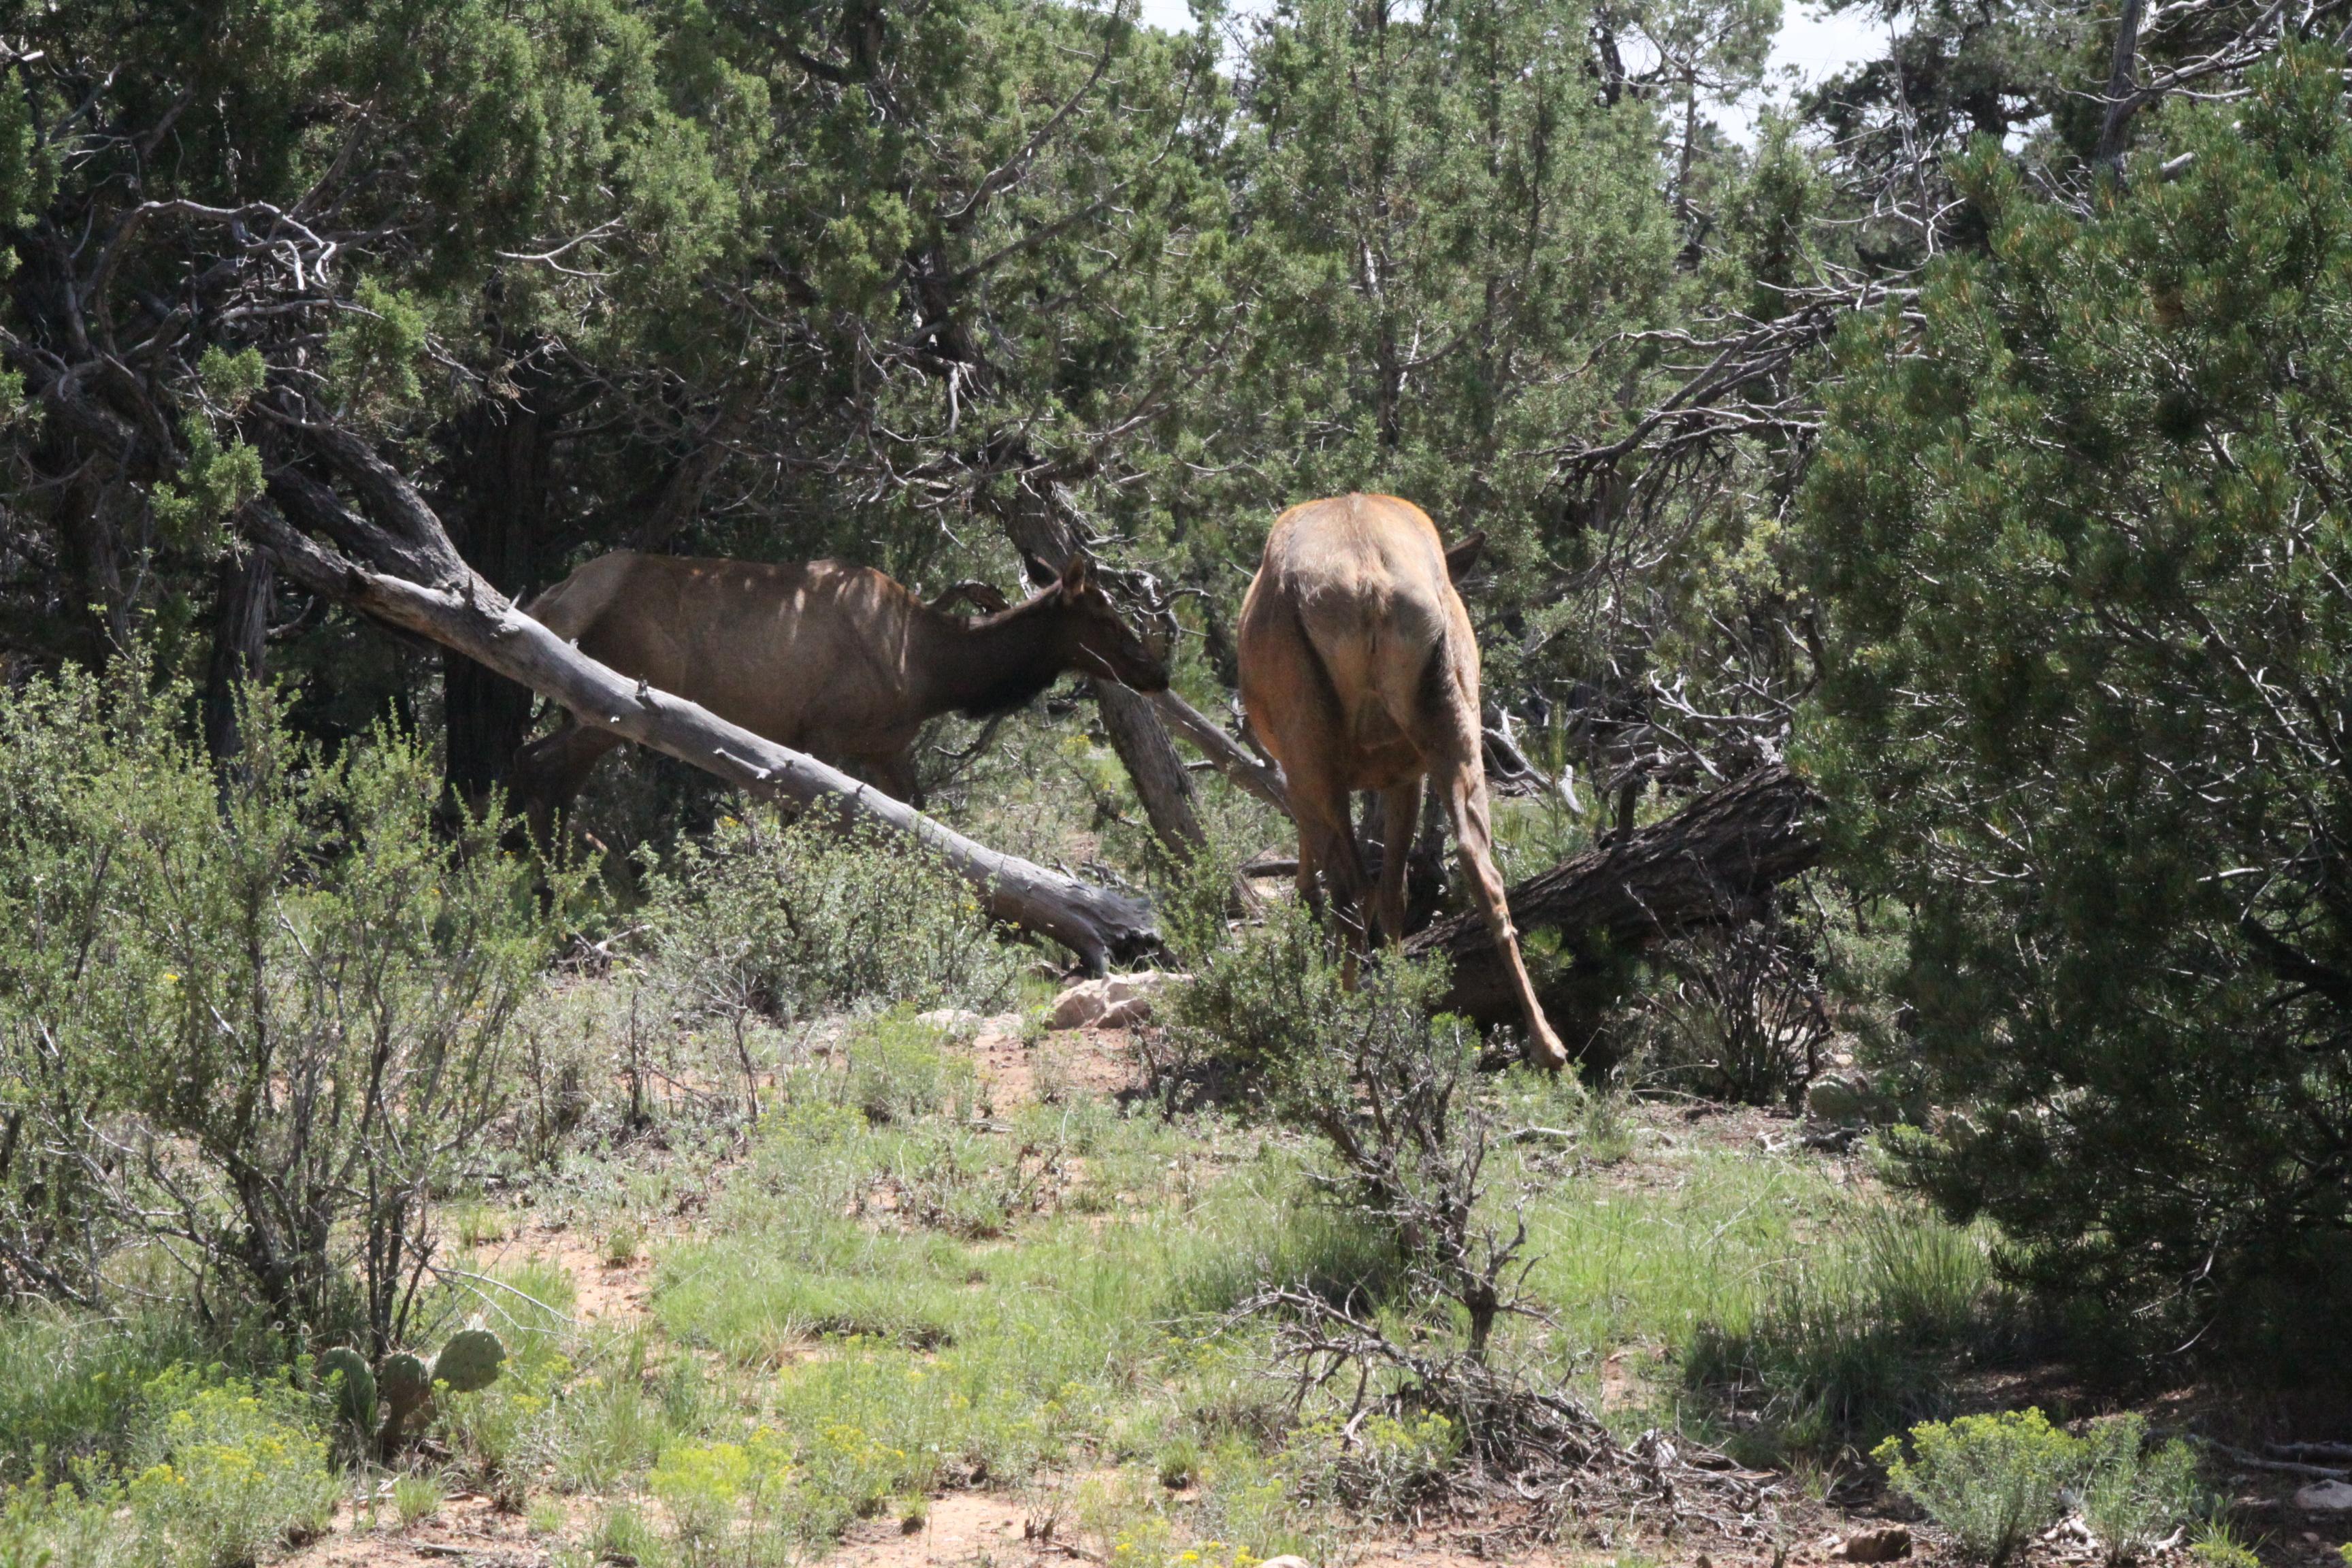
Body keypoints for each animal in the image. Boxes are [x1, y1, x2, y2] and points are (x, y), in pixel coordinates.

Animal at [519, 550, 1171, 808]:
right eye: (1105, 618)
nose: (1156, 671)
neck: (933, 672)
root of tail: (563, 594)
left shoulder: (885, 747)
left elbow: (920, 816)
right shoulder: (822, 732)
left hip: (590, 706)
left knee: (546, 770)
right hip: (617, 705)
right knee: (543, 770)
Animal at [1232, 495, 1561, 1072]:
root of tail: (1370, 587)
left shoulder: (1304, 772)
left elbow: (1325, 875)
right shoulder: (1403, 772)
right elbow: (1395, 891)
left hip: (1310, 738)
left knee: (1347, 888)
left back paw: (1341, 1015)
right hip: (1454, 717)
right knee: (1480, 866)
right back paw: (1547, 1044)